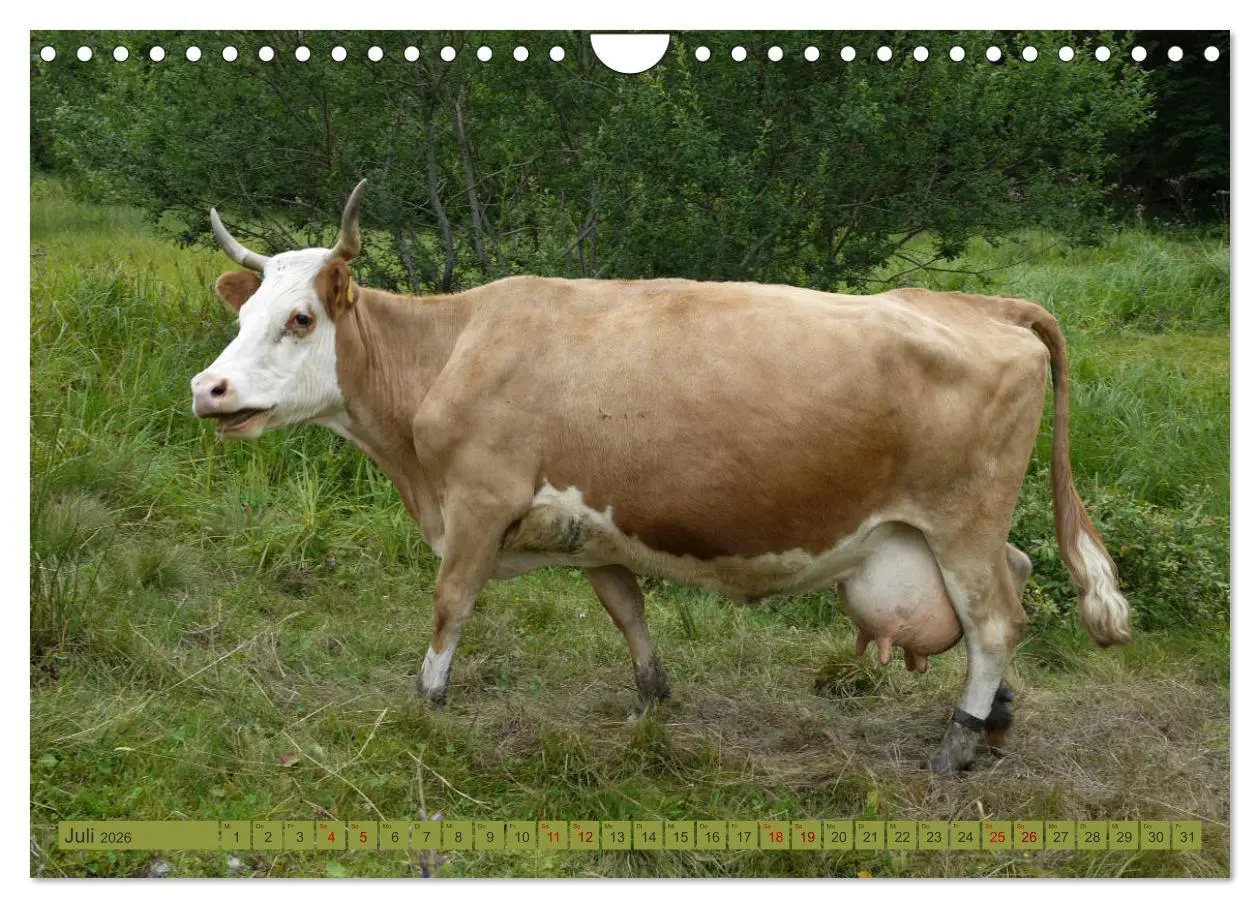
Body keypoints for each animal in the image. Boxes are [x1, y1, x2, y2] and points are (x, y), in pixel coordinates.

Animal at [191, 181, 1131, 773]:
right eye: (242, 314)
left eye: (299, 318)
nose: (209, 388)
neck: (451, 352)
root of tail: (983, 305)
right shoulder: (594, 525)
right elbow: (627, 610)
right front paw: (651, 705)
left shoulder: (477, 506)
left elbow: (449, 606)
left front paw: (427, 704)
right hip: (948, 534)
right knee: (1013, 583)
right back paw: (997, 720)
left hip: (961, 522)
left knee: (996, 621)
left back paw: (957, 740)